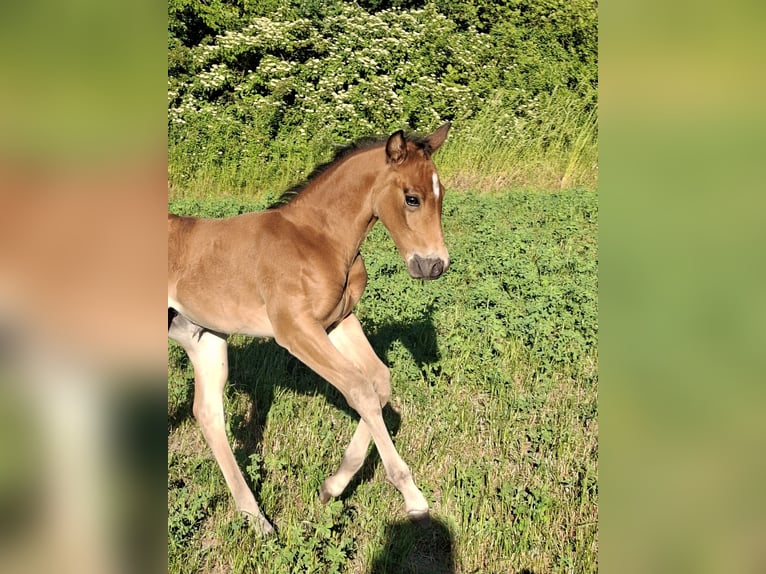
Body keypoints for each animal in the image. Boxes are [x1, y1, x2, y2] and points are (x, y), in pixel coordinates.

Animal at [168, 123, 451, 534]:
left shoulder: (338, 322)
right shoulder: (295, 331)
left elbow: (379, 382)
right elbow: (359, 389)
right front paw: (413, 499)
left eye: (441, 195)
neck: (320, 240)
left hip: (202, 337)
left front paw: (332, 486)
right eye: (412, 199)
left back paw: (256, 519)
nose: (435, 265)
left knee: (207, 413)